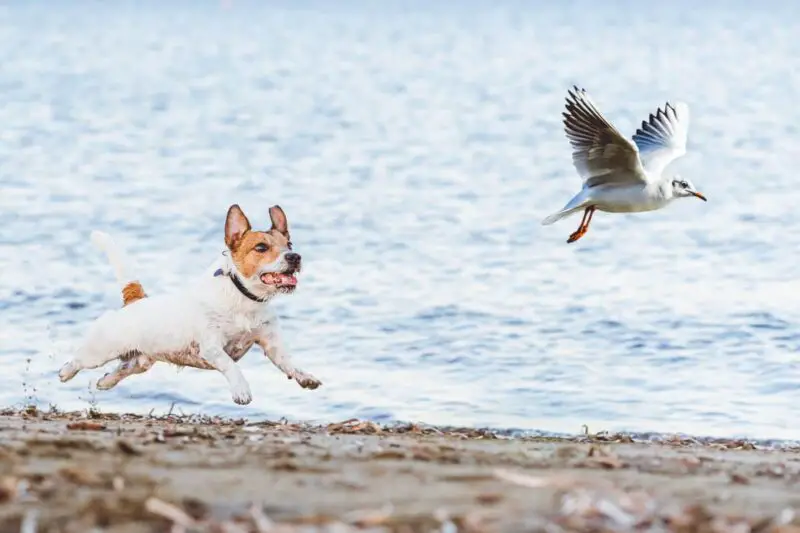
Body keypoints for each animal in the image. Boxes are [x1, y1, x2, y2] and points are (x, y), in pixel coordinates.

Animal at [56, 204, 322, 404]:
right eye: (261, 247)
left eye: (289, 246)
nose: (295, 257)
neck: (244, 298)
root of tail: (135, 300)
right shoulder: (212, 347)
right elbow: (231, 366)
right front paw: (241, 390)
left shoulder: (271, 344)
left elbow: (287, 362)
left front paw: (304, 376)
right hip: (100, 351)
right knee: (78, 359)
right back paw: (65, 372)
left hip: (141, 361)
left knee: (122, 368)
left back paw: (105, 381)